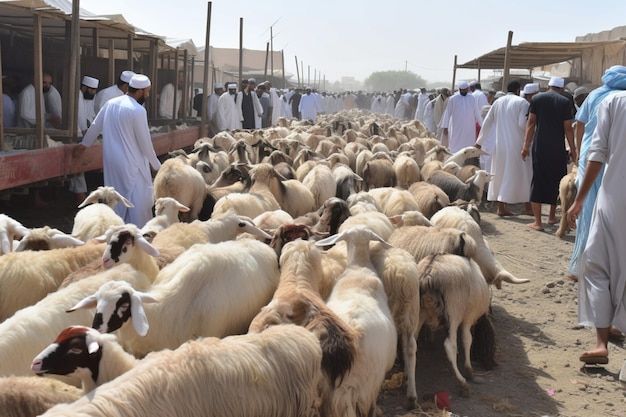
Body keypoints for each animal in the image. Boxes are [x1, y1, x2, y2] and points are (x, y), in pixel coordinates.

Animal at [416, 252, 494, 394]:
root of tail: (427, 276)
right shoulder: (468, 317)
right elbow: (467, 339)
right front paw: (469, 370)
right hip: (452, 314)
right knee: (450, 346)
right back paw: (463, 383)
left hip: (418, 313)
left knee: (411, 346)